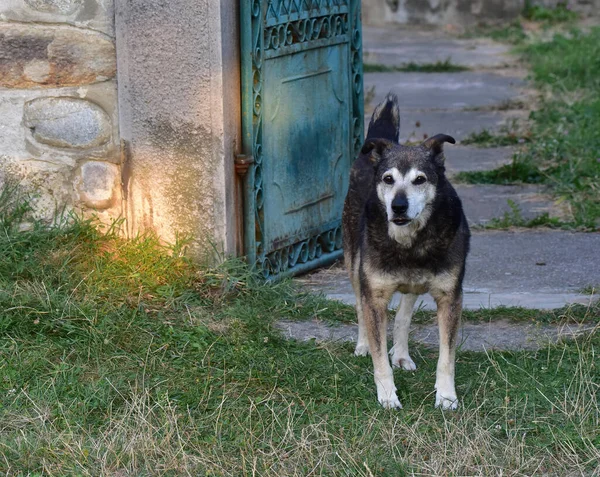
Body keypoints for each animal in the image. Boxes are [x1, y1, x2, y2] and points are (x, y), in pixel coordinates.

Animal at [342, 94, 468, 410]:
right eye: (388, 179)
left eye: (420, 180)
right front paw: (388, 396)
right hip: (353, 262)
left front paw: (446, 396)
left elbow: (446, 358)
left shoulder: (450, 296)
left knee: (403, 315)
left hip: (414, 285)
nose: (398, 206)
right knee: (360, 305)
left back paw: (401, 354)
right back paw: (363, 345)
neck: (409, 241)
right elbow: (379, 358)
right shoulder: (374, 293)